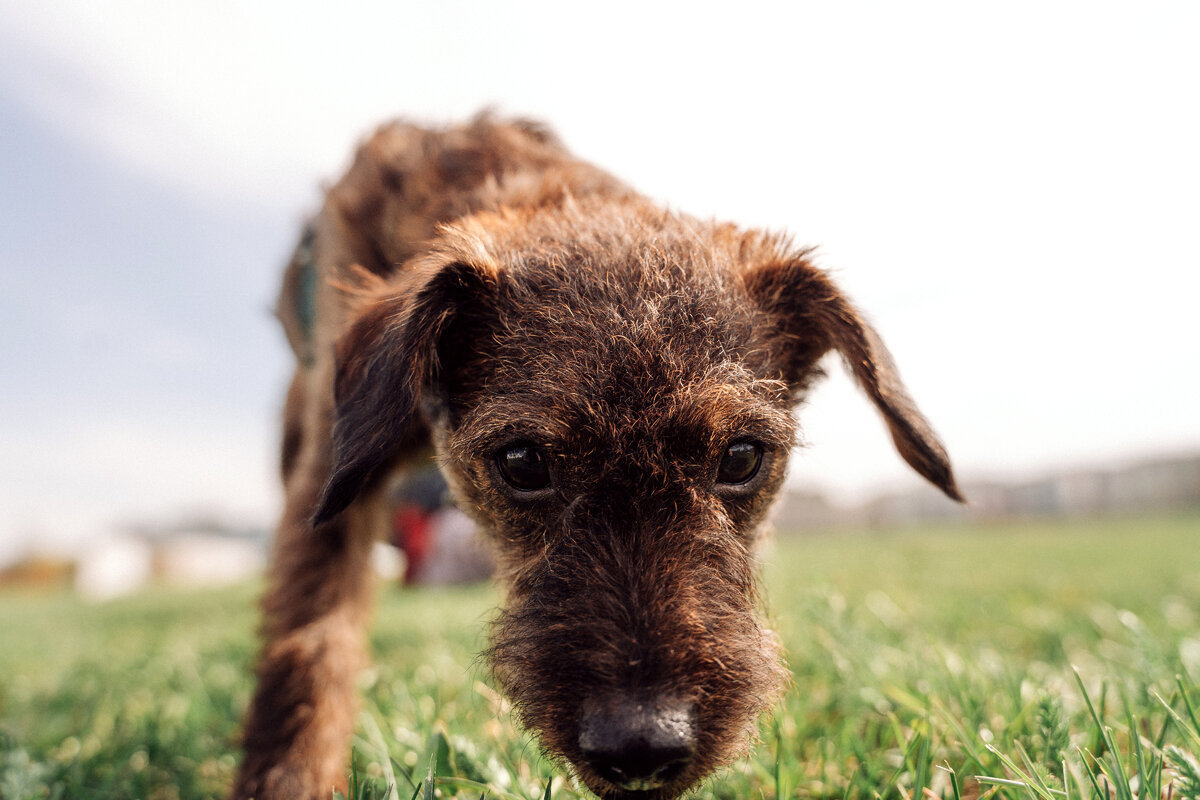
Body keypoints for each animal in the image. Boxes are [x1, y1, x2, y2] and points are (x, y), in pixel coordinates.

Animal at [231, 113, 964, 800]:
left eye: (741, 458)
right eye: (523, 462)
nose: (642, 746)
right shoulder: (326, 490)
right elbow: (311, 642)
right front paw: (289, 779)